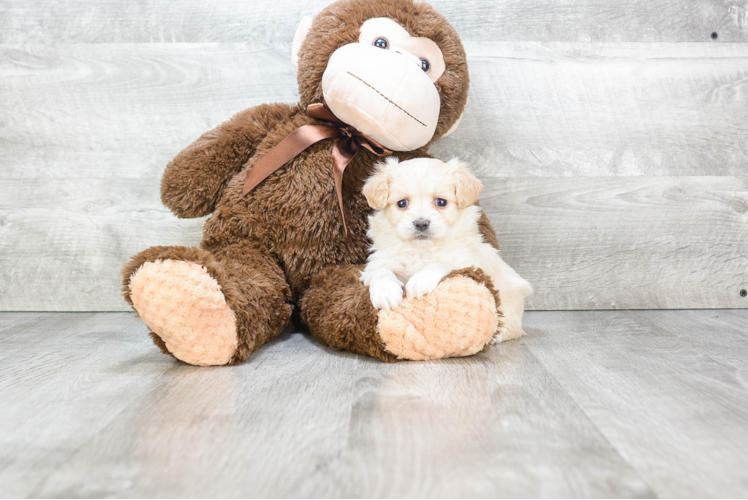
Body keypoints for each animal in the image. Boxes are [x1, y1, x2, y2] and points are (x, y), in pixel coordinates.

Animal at [360, 158, 532, 342]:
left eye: (441, 202)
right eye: (402, 203)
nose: (421, 223)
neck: (422, 249)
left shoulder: (469, 261)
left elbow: (442, 263)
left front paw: (421, 280)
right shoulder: (378, 262)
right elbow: (381, 271)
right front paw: (385, 292)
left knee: (512, 327)